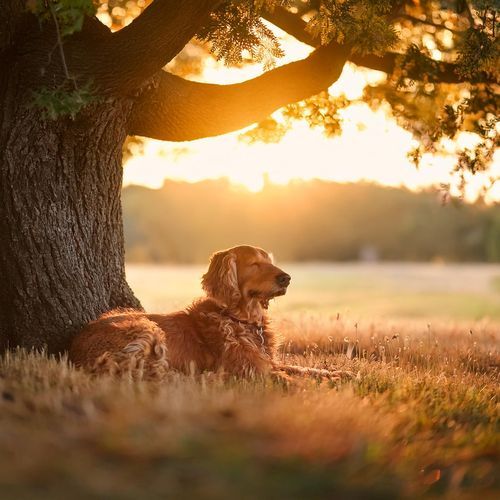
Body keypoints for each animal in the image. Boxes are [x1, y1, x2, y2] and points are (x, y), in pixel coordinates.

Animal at [69, 245, 344, 378]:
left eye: (270, 261)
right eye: (254, 264)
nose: (286, 278)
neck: (241, 319)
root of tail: (74, 346)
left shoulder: (267, 361)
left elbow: (305, 369)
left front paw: (340, 373)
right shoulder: (252, 368)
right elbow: (289, 378)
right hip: (145, 329)